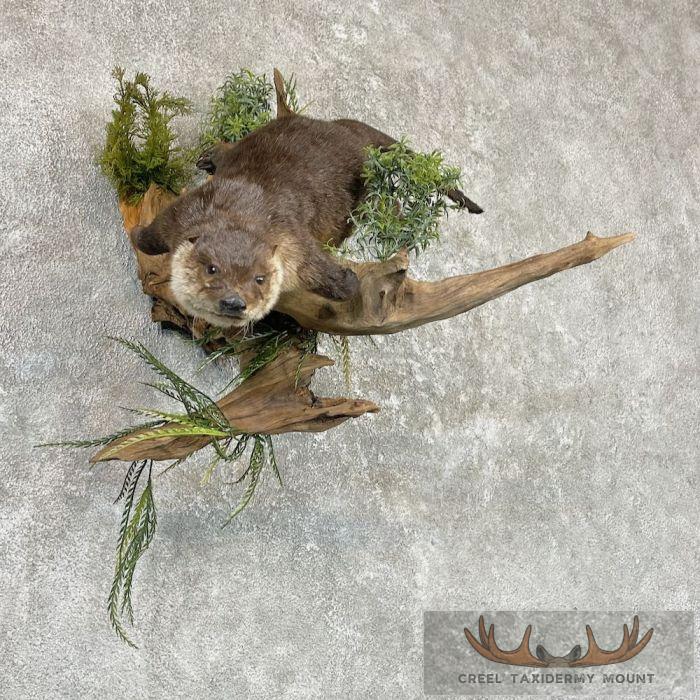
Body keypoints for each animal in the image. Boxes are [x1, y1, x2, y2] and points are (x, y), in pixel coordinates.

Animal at [132, 94, 483, 329]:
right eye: (212, 269)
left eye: (260, 279)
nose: (234, 301)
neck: (245, 214)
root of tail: (348, 133)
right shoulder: (188, 211)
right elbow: (151, 236)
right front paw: (137, 233)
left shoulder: (296, 246)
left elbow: (335, 280)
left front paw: (349, 280)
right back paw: (211, 157)